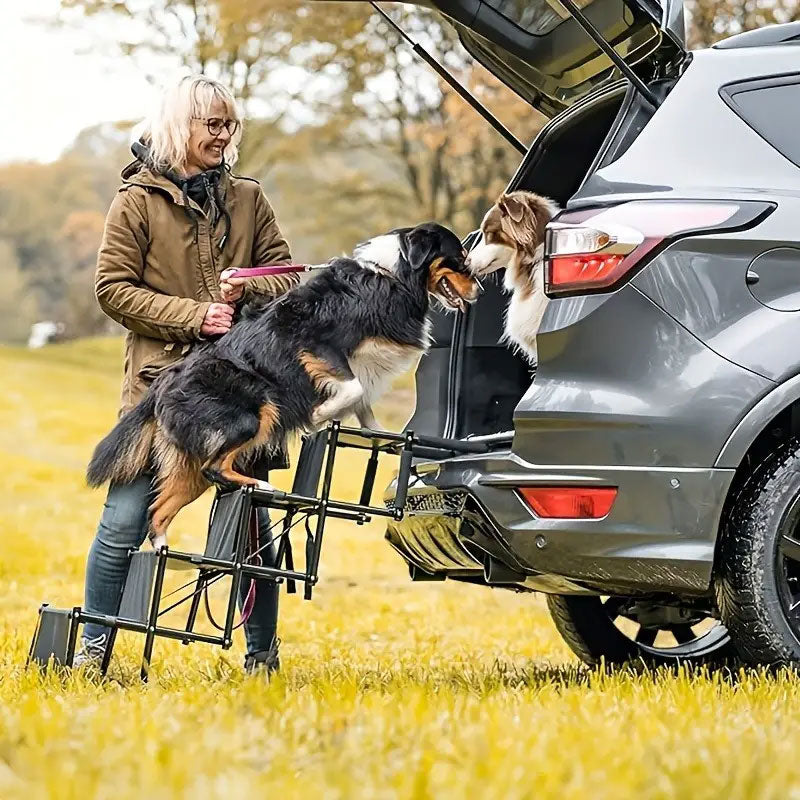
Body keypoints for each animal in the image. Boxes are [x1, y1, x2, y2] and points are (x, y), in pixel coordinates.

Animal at [89, 225, 476, 552]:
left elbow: (364, 403)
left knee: (161, 506)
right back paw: (258, 485)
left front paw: (377, 433)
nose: (479, 290)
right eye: (459, 258)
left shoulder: (361, 366)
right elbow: (351, 390)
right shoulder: (320, 346)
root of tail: (163, 382)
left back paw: (161, 546)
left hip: (189, 463)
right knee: (214, 467)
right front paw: (320, 414)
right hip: (254, 413)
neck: (391, 275)